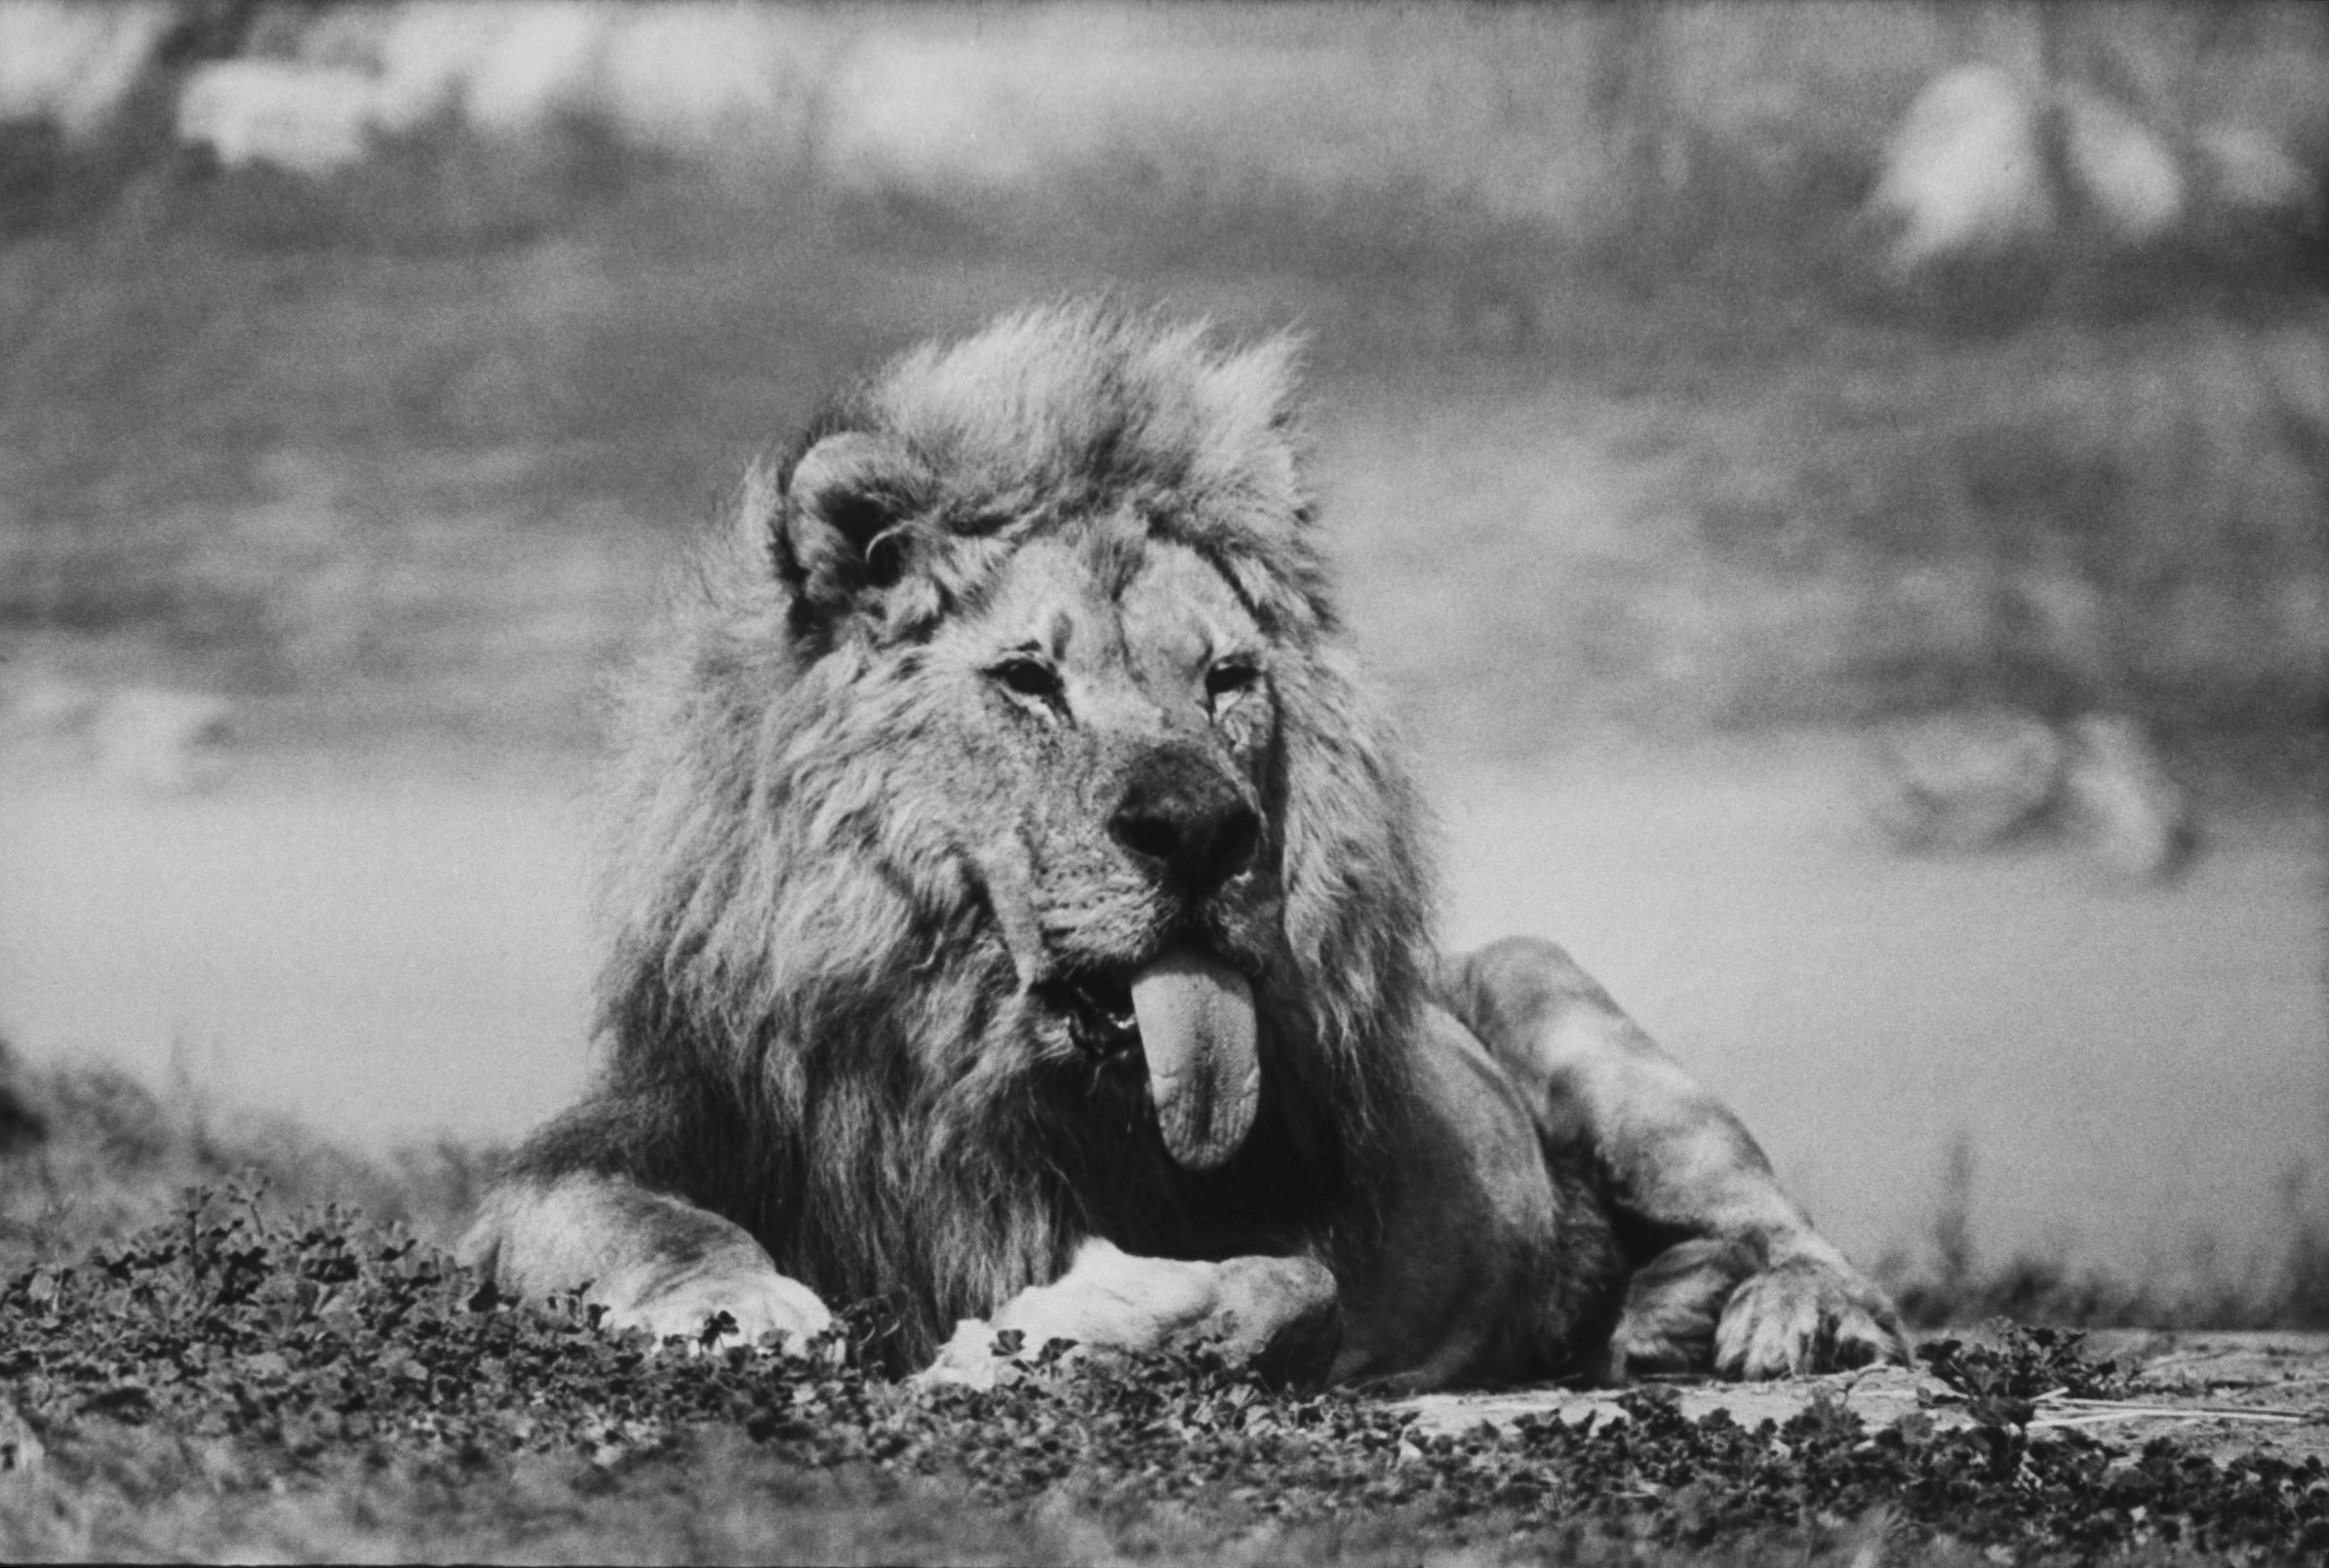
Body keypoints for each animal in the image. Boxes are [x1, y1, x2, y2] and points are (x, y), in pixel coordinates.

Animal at [461, 303, 1907, 1391]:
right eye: (1028, 680)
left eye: (1226, 681)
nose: (1205, 831)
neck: (974, 1067)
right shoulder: (608, 1152)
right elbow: (636, 1218)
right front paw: (742, 1306)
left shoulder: (1293, 1229)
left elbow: (1291, 1287)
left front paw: (1062, 1330)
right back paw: (1654, 1318)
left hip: (1555, 992)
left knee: (1794, 1235)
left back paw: (1779, 1317)